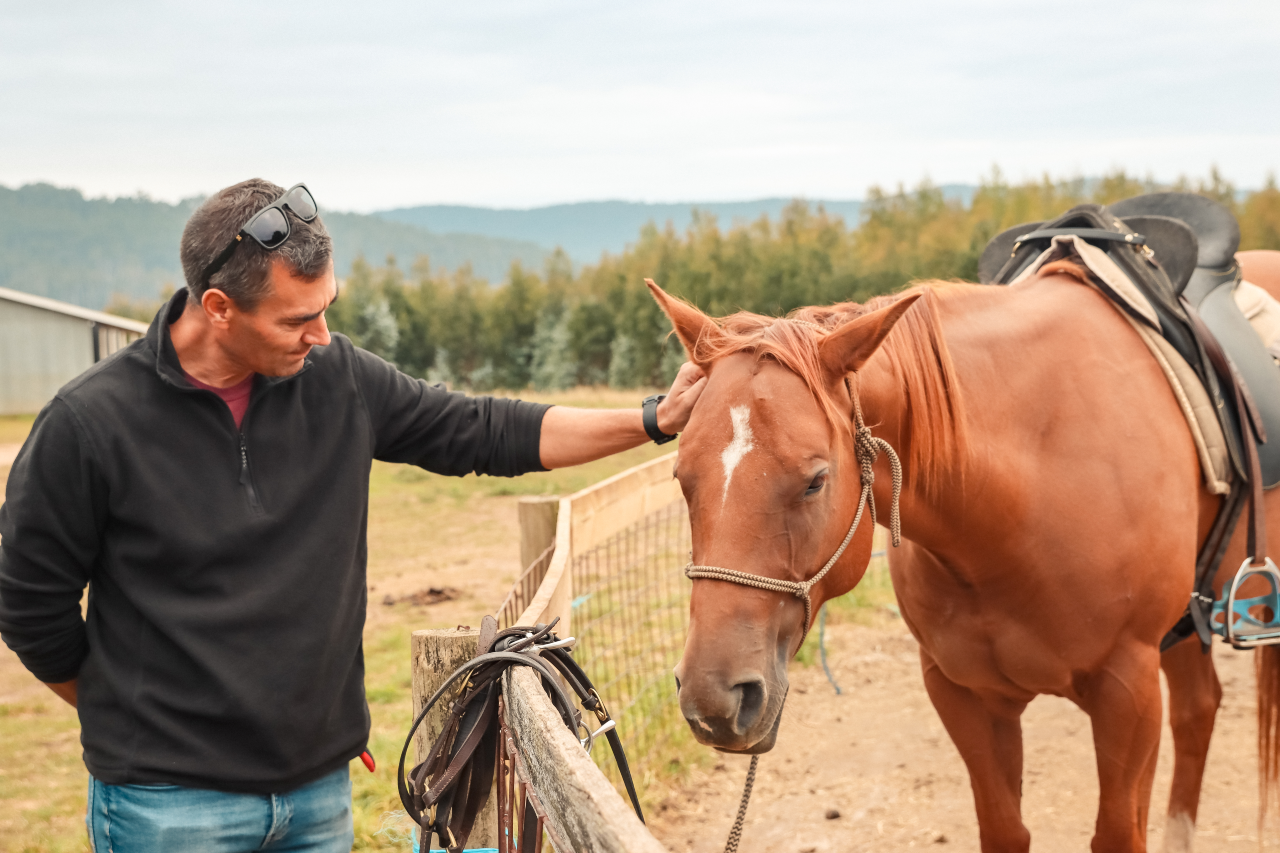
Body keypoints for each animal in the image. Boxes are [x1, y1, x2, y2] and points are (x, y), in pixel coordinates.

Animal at [655, 247, 1280, 850]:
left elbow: (1117, 833)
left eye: (815, 481)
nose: (715, 699)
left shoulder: (1128, 693)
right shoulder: (964, 696)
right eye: (682, 477)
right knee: (1199, 709)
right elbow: (1004, 829)